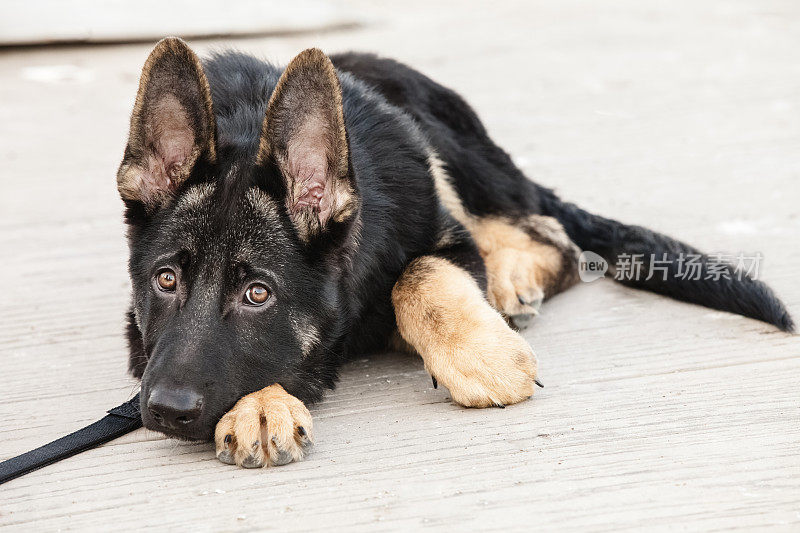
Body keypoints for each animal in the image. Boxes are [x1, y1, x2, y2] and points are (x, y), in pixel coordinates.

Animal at [119, 38, 792, 466]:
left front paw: (481, 355)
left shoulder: (446, 239)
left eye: (258, 294)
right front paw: (262, 405)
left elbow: (416, 273)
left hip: (452, 156)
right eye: (165, 281)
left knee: (554, 237)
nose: (165, 410)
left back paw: (509, 279)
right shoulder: (140, 335)